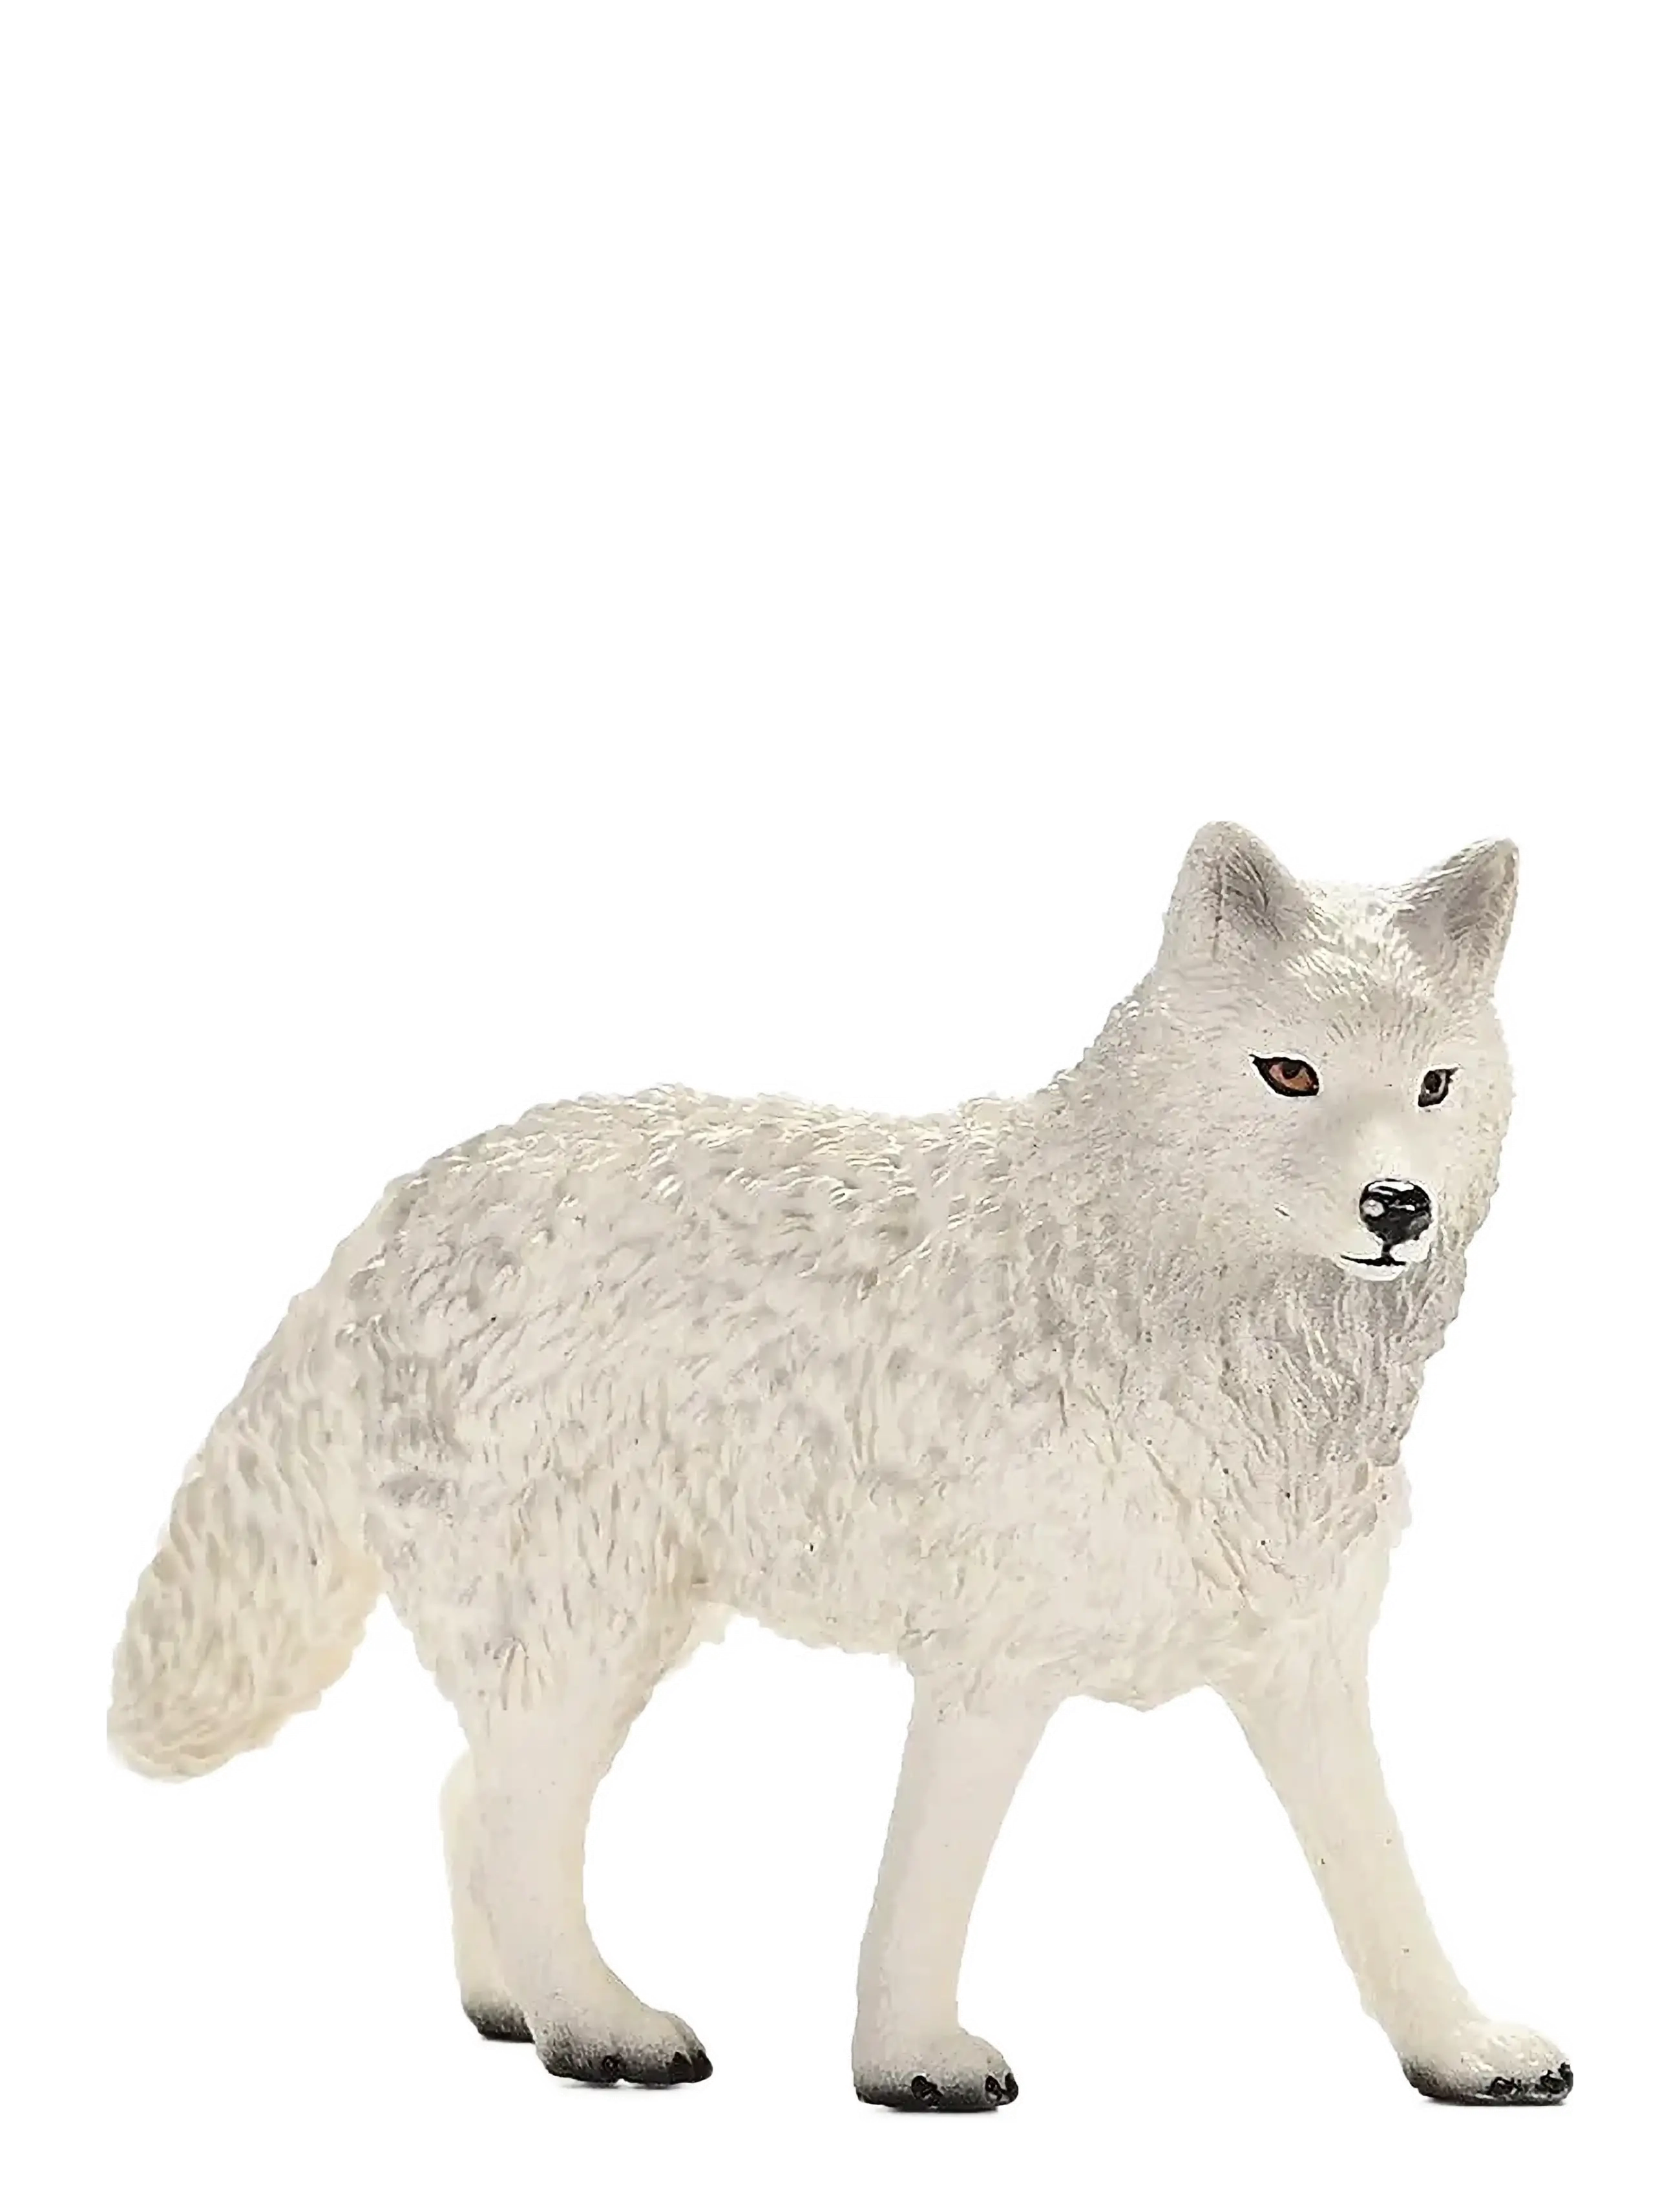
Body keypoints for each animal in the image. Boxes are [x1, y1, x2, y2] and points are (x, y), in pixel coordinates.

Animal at [106, 819, 1575, 2114]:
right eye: (1290, 1076)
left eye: (1436, 1088)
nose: (1398, 1207)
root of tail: (393, 1207)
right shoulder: (990, 1665)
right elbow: (927, 1883)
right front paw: (912, 2064)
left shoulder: (1302, 1662)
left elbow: (1387, 1886)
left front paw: (1461, 2052)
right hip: (591, 1631)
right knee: (508, 1808)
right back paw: (601, 2030)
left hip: (619, 1640)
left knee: (463, 1791)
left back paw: (520, 2010)